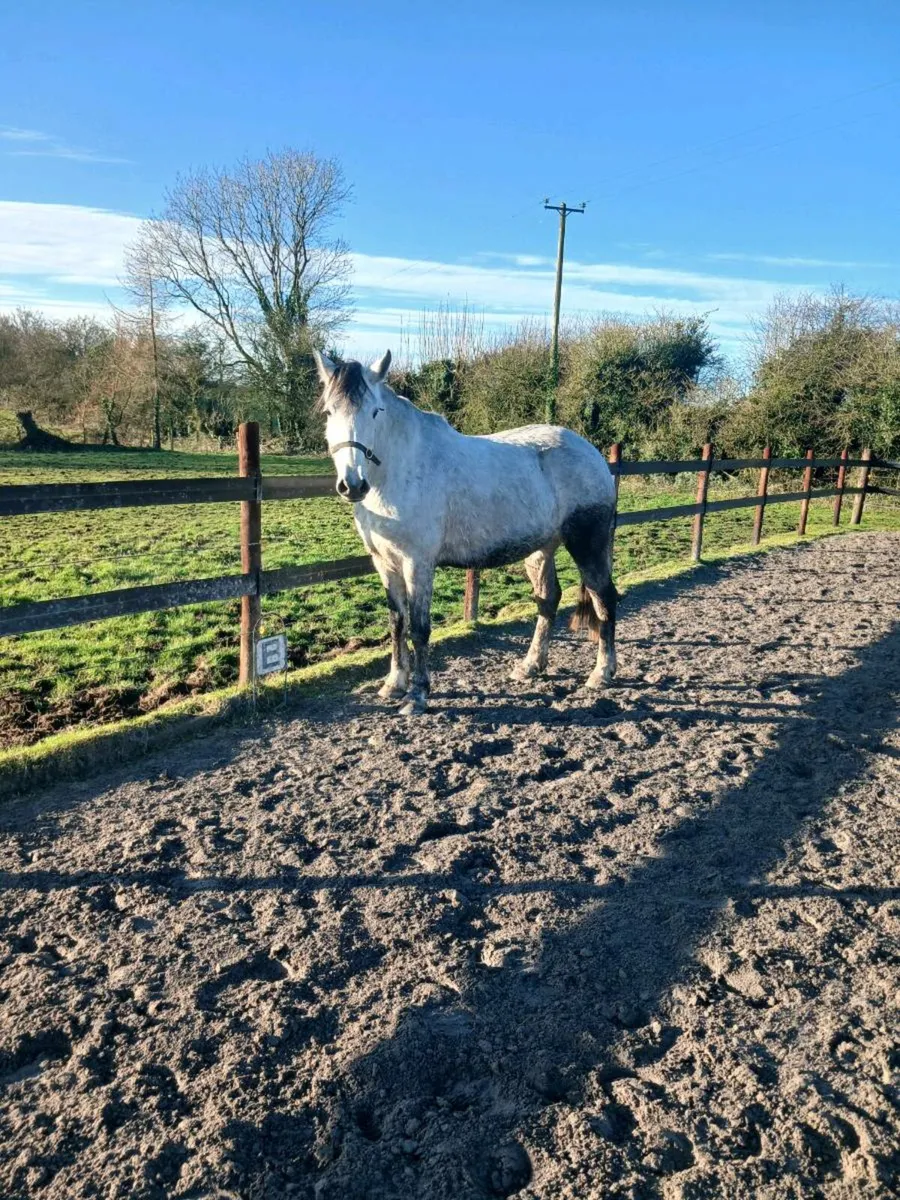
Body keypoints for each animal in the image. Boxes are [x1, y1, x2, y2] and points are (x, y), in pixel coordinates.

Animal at [314, 350, 618, 715]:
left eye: (376, 411)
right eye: (329, 411)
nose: (353, 484)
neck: (400, 470)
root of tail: (592, 453)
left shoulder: (418, 564)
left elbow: (419, 628)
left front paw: (418, 694)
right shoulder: (384, 563)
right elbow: (396, 623)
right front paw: (393, 684)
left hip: (588, 544)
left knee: (604, 599)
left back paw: (602, 673)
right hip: (541, 549)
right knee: (548, 600)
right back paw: (530, 666)